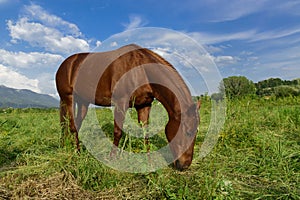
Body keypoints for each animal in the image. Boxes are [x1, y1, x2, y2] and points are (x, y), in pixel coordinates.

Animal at [56, 44, 202, 170]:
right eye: (188, 132)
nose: (185, 165)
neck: (141, 69)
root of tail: (67, 63)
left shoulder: (144, 105)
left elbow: (145, 133)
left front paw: (149, 161)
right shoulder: (121, 103)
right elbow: (118, 132)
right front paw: (112, 159)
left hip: (83, 102)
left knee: (72, 124)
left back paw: (67, 147)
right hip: (68, 99)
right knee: (71, 125)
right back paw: (77, 152)